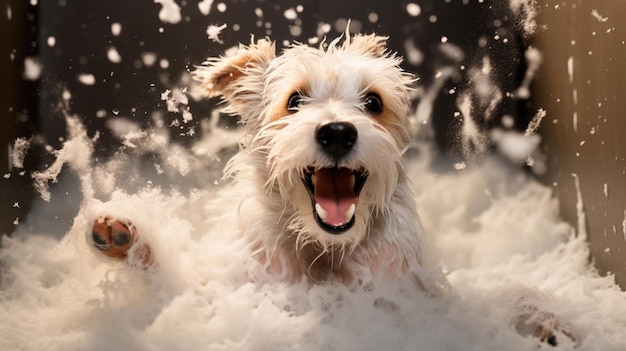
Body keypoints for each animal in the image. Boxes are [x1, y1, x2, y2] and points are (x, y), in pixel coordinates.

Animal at [90, 32, 572, 346]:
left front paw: (541, 317)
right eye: (294, 101)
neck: (324, 252)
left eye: (373, 102)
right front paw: (127, 238)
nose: (337, 132)